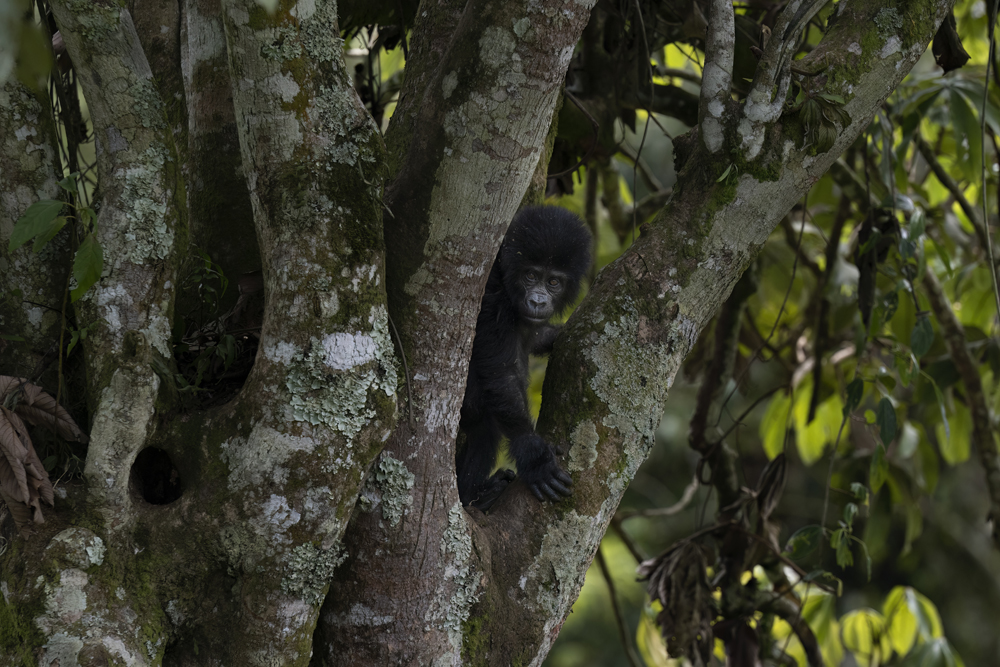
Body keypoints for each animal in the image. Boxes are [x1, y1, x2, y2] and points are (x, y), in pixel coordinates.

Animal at [456, 206, 591, 510]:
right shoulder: (492, 300)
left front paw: (556, 334)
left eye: (553, 282)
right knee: (484, 424)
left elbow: (535, 338)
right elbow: (501, 374)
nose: (538, 301)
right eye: (530, 276)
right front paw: (535, 457)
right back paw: (475, 496)